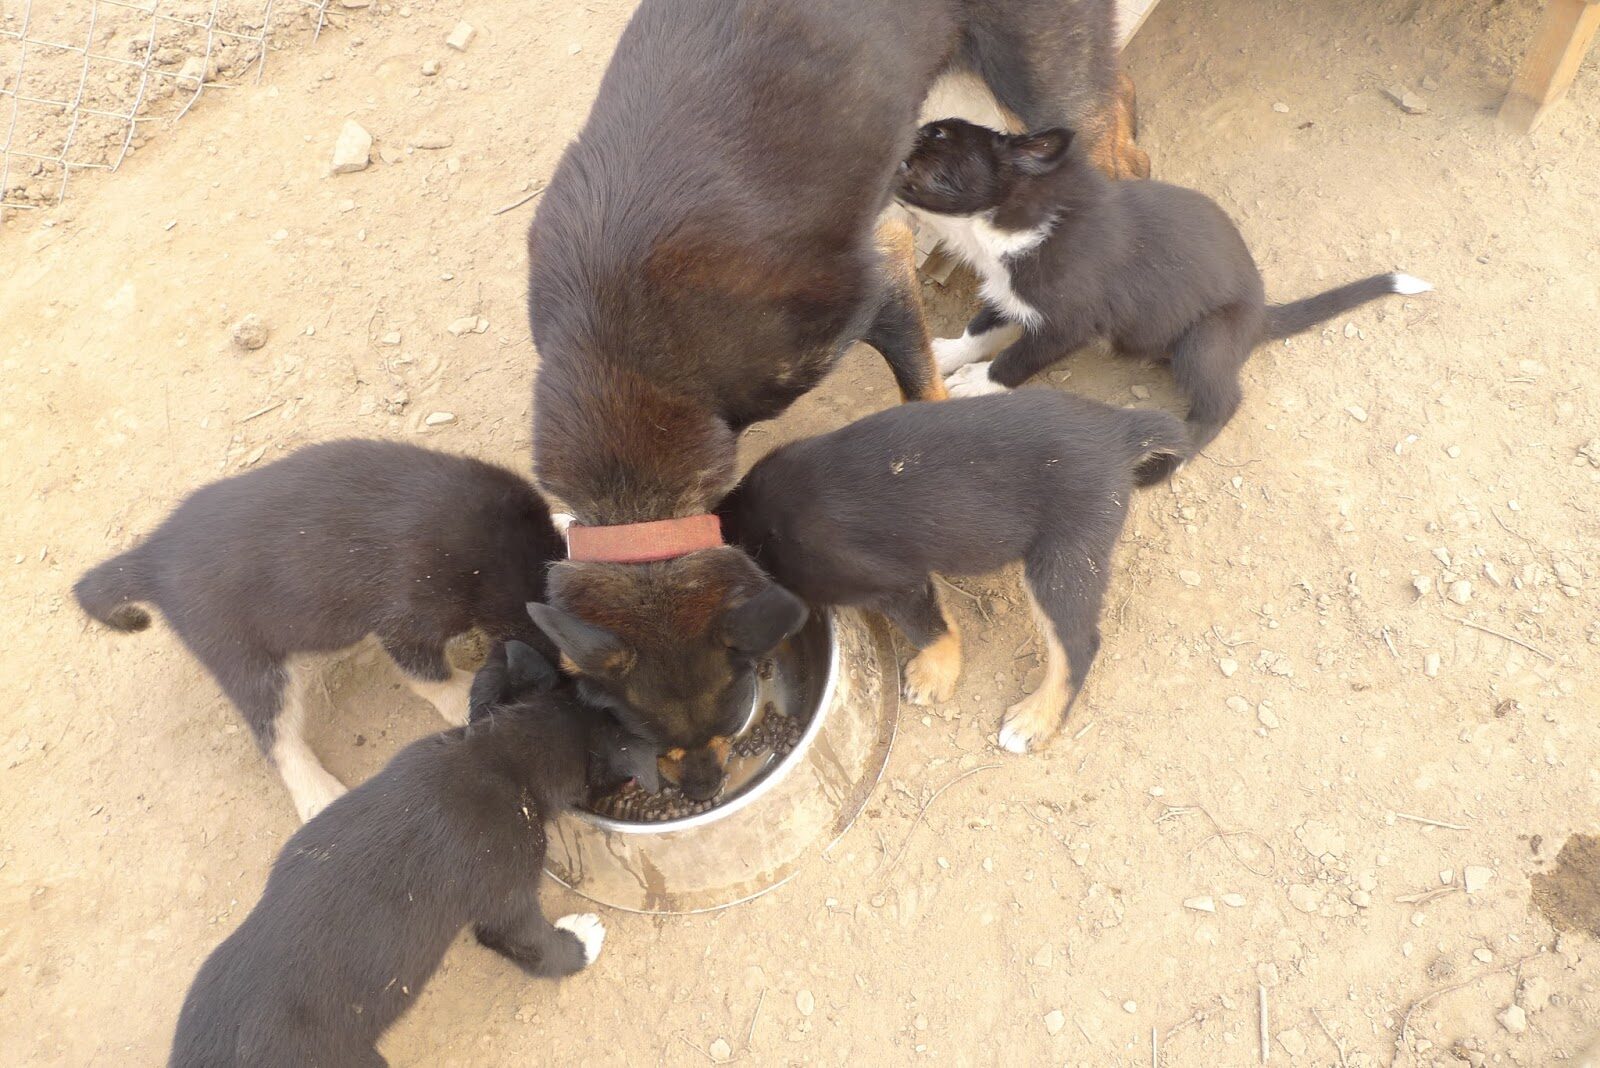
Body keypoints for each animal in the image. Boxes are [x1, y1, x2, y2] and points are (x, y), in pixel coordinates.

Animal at [75, 438, 563, 824]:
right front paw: (459, 698)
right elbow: (426, 673)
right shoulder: (408, 615)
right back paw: (316, 792)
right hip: (245, 659)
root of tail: (152, 557)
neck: (501, 551)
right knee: (275, 736)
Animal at [524, 0, 1139, 799]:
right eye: (643, 731)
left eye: (735, 706)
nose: (703, 793)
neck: (629, 365)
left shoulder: (883, 274)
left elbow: (922, 399)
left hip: (1047, 88)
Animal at [716, 390, 1190, 751]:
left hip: (1063, 558)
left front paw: (934, 674)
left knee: (1078, 645)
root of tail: (1120, 431)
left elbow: (930, 628)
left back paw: (1036, 719)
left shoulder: (891, 581)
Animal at [896, 115, 1433, 476]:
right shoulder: (1012, 295)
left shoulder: (1068, 323)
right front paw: (946, 355)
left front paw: (977, 383)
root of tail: (1261, 315)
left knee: (1223, 404)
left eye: (939, 135)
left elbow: (1017, 359)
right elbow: (982, 328)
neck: (1017, 217)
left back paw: (1172, 459)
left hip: (1205, 341)